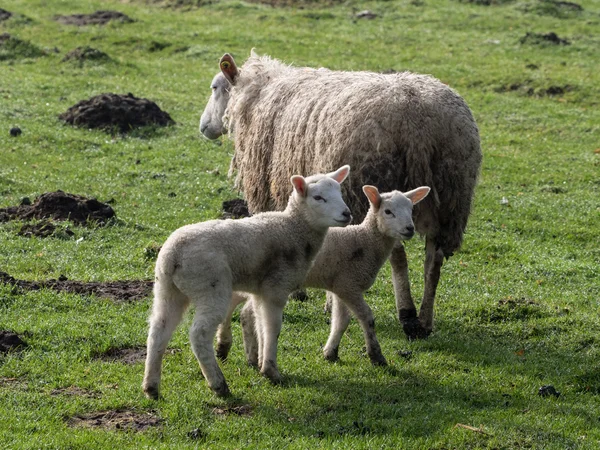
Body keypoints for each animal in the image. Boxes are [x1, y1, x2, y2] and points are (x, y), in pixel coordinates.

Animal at [142, 165, 352, 398]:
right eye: (318, 198)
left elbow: (259, 324)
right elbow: (273, 327)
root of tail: (173, 256)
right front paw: (271, 370)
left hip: (167, 289)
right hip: (210, 287)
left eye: (340, 193)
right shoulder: (276, 288)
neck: (293, 229)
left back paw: (151, 387)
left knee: (158, 330)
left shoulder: (260, 291)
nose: (347, 214)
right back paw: (218, 384)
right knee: (199, 334)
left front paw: (258, 360)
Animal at [199, 51, 480, 338]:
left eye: (215, 87)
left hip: (373, 187)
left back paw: (408, 315)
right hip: (451, 197)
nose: (203, 127)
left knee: (398, 256)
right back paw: (425, 320)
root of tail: (419, 123)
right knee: (433, 261)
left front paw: (309, 295)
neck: (259, 90)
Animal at [216, 185, 432, 368]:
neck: (364, 241)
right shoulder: (349, 285)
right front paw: (376, 356)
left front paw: (330, 352)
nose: (410, 229)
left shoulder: (340, 287)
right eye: (388, 212)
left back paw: (232, 350)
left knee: (240, 308)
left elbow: (341, 321)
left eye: (411, 210)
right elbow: (367, 318)